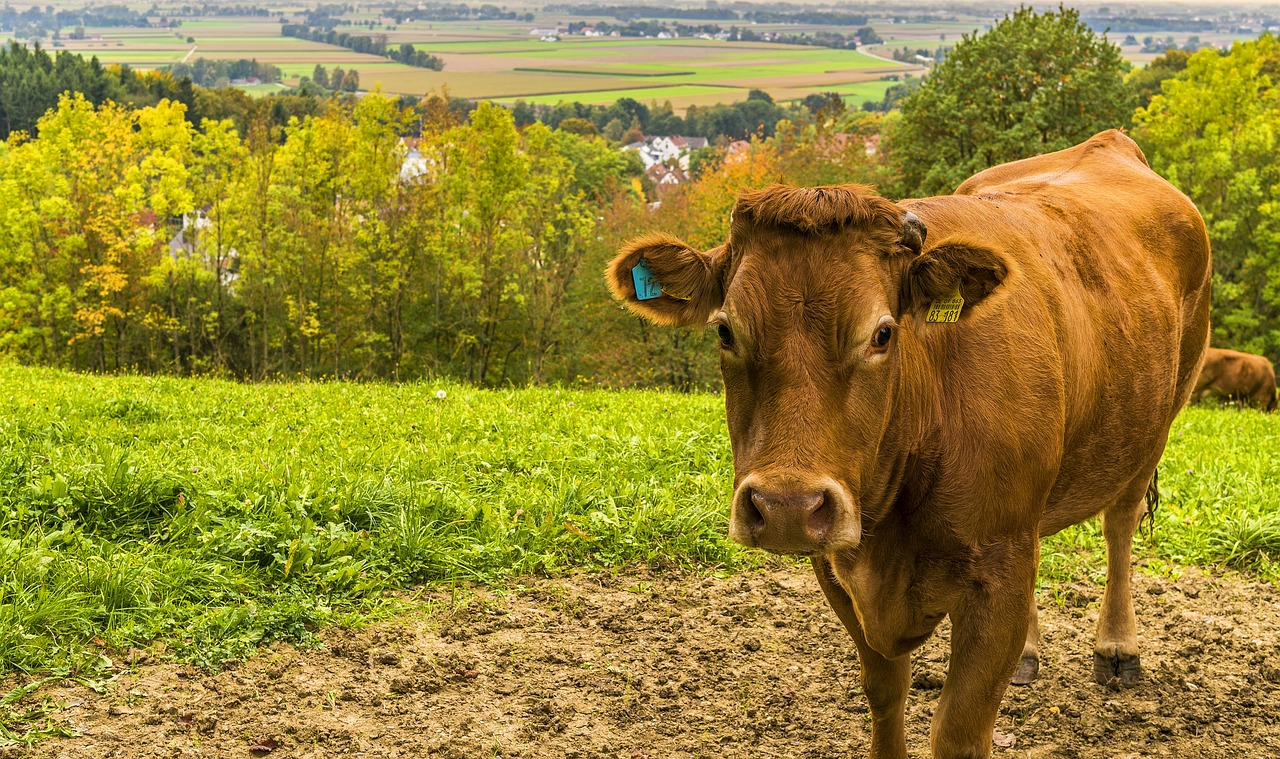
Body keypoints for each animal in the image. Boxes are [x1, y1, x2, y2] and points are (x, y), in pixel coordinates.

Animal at [609, 131, 1208, 757]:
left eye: (882, 333)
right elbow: (884, 691)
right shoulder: (839, 563)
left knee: (1121, 522)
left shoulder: (997, 573)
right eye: (726, 330)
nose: (786, 507)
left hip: (1159, 417)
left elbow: (959, 730)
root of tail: (1107, 144)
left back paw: (1118, 648)